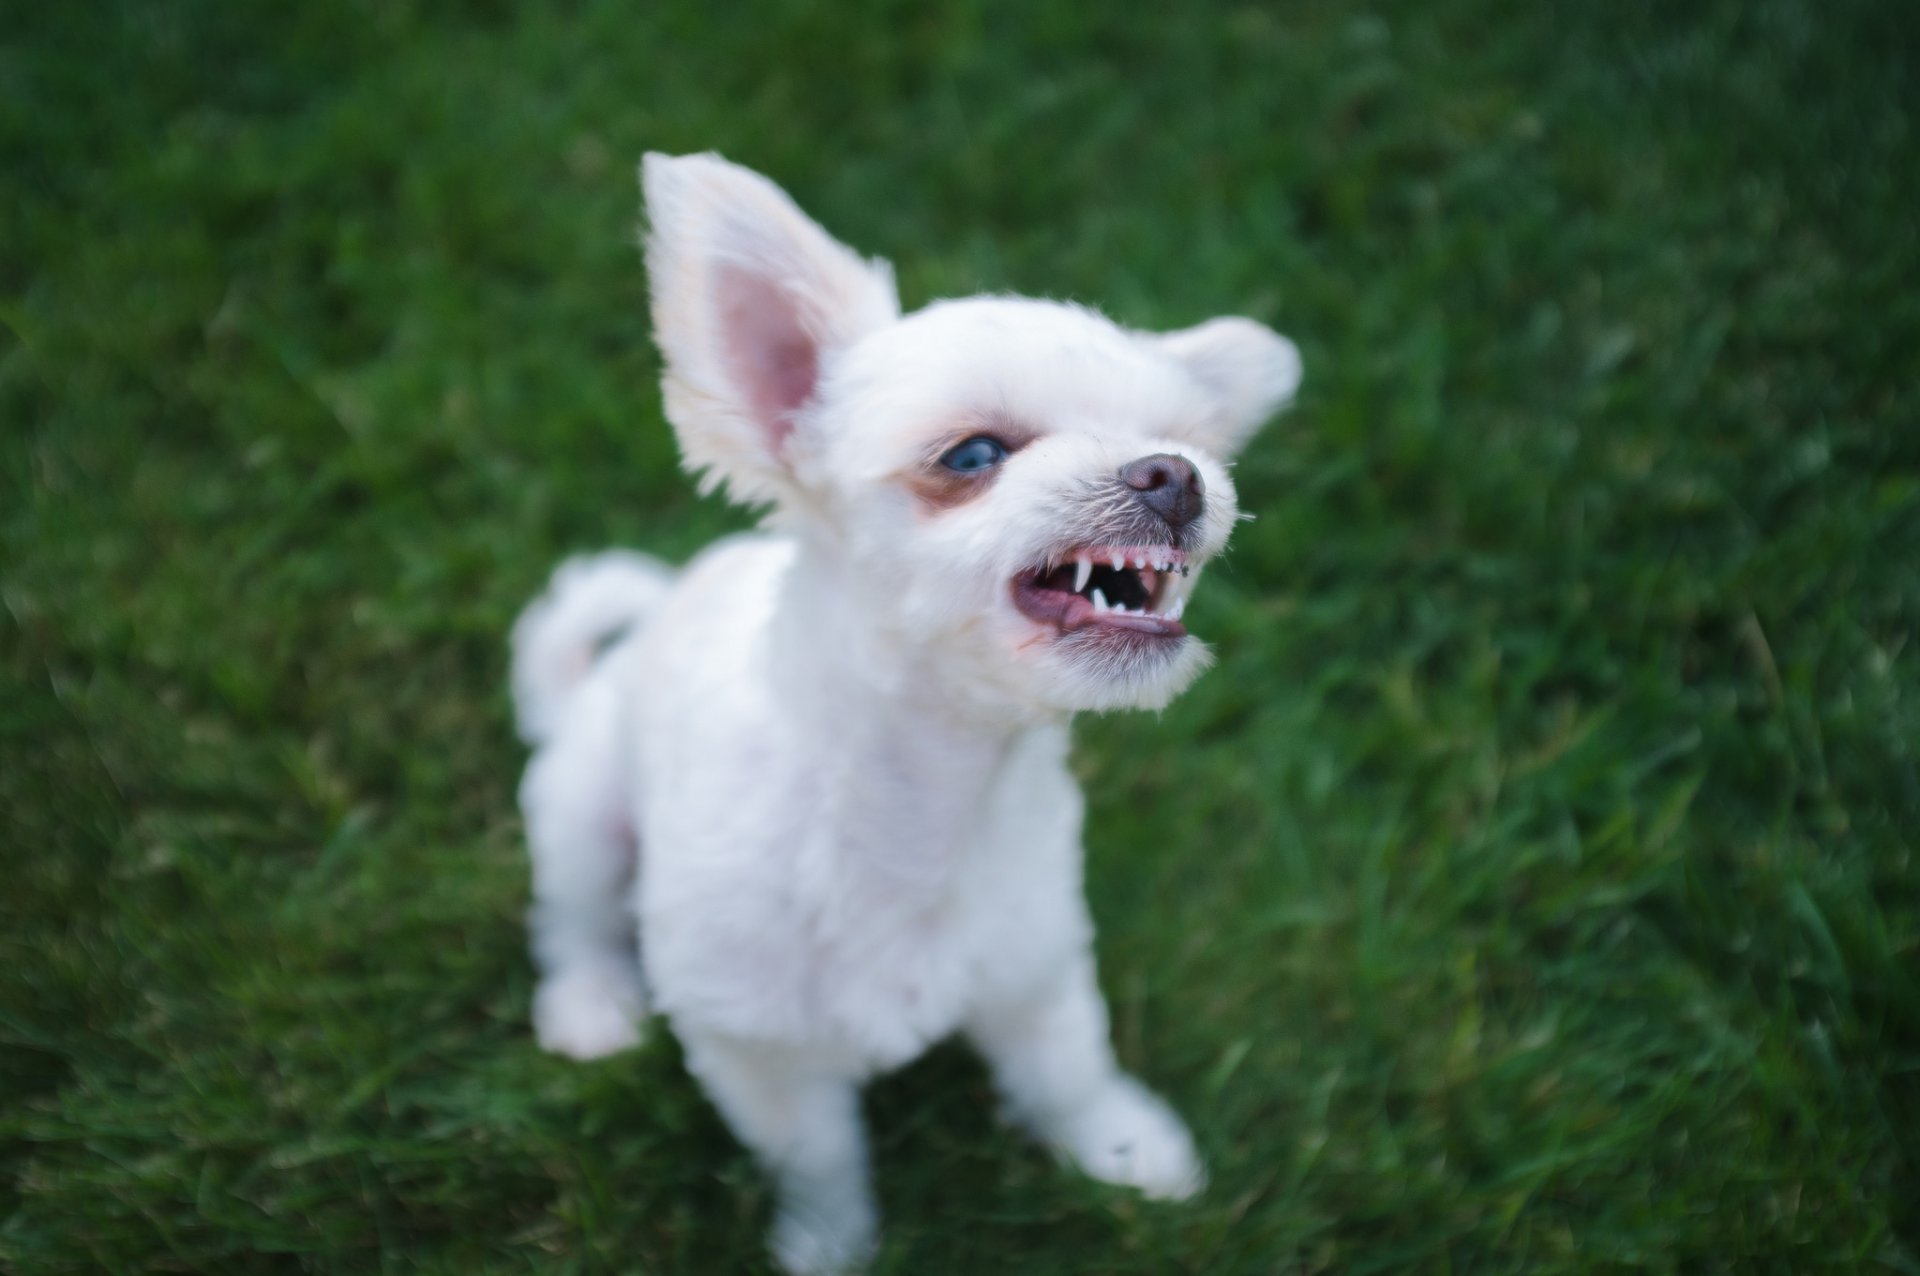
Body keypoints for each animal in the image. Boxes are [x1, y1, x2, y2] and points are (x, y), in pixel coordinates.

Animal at [506, 154, 1305, 1266]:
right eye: (971, 455)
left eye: (1188, 441)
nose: (1176, 474)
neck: (922, 799)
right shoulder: (758, 1050)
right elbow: (819, 1161)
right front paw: (829, 1246)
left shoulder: (1037, 970)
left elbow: (1071, 1076)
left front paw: (1125, 1150)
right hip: (579, 811)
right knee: (573, 919)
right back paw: (589, 1004)